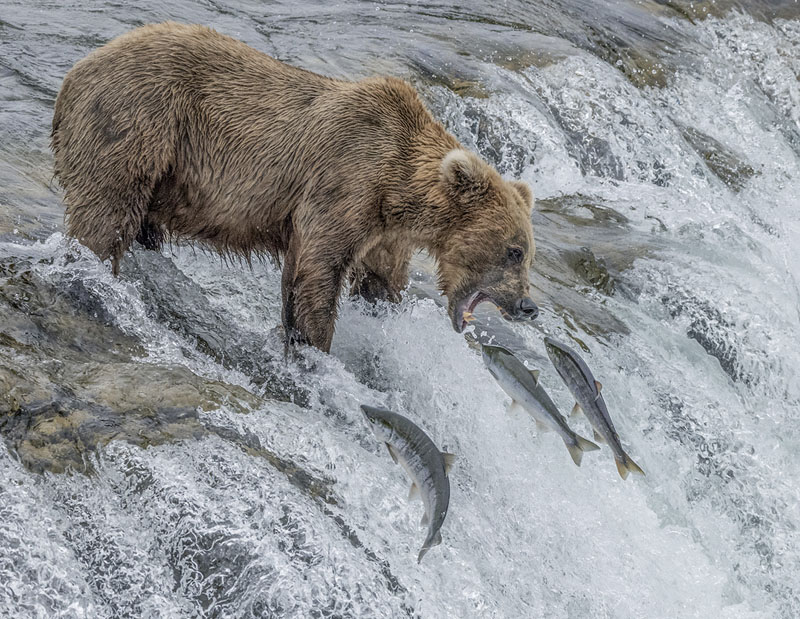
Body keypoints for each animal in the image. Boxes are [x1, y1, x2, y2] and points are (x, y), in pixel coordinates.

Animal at [51, 22, 538, 353]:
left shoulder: (384, 230)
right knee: (107, 215)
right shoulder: (345, 180)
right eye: (514, 251)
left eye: (527, 253)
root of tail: (77, 69)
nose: (528, 307)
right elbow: (316, 268)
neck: (399, 191)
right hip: (137, 122)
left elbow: (379, 280)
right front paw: (314, 344)